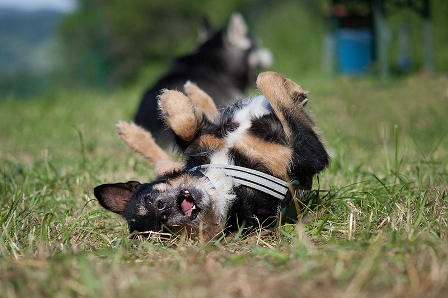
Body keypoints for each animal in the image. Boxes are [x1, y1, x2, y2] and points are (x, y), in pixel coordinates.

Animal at [94, 73, 328, 242]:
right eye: (164, 232)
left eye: (148, 199)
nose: (162, 207)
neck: (224, 182)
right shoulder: (309, 155)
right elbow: (271, 86)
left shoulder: (202, 141)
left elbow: (187, 124)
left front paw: (171, 100)